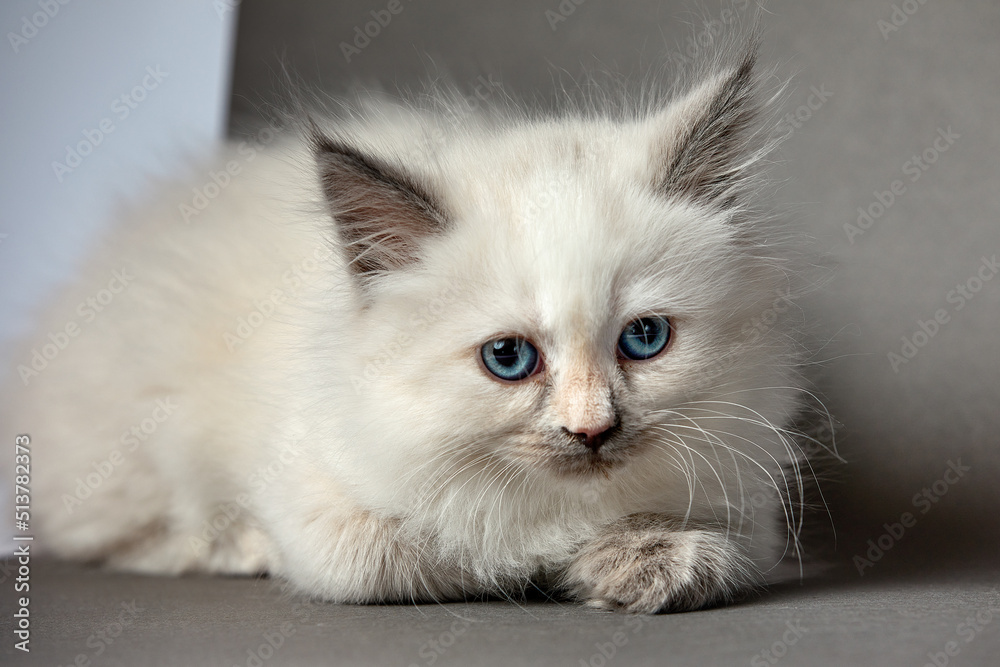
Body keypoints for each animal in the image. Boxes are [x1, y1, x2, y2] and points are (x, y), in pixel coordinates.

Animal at [3, 35, 824, 612]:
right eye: (507, 358)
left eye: (644, 340)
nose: (592, 430)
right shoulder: (318, 502)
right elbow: (424, 552)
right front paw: (539, 559)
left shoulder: (744, 509)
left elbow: (706, 554)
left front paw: (637, 560)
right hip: (137, 453)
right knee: (131, 538)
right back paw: (237, 546)